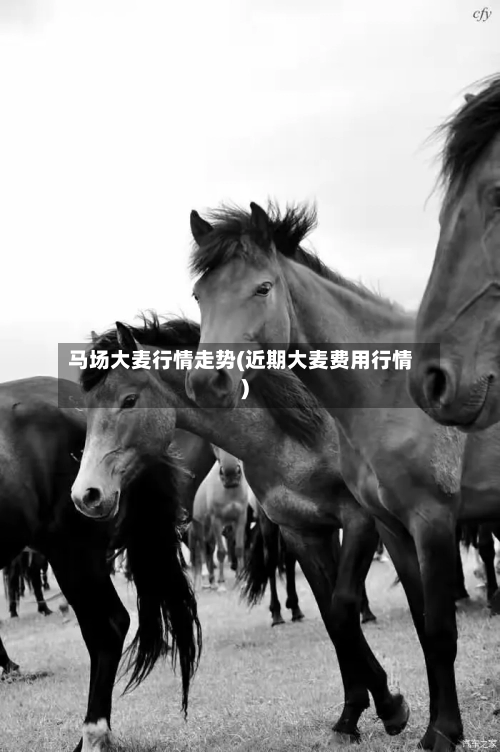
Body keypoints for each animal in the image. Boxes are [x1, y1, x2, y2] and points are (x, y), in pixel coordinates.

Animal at [71, 315, 408, 749]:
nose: (85, 495)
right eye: (87, 409)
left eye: (129, 400)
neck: (296, 434)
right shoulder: (303, 532)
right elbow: (335, 619)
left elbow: (344, 605)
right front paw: (353, 714)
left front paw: (390, 707)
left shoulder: (360, 521)